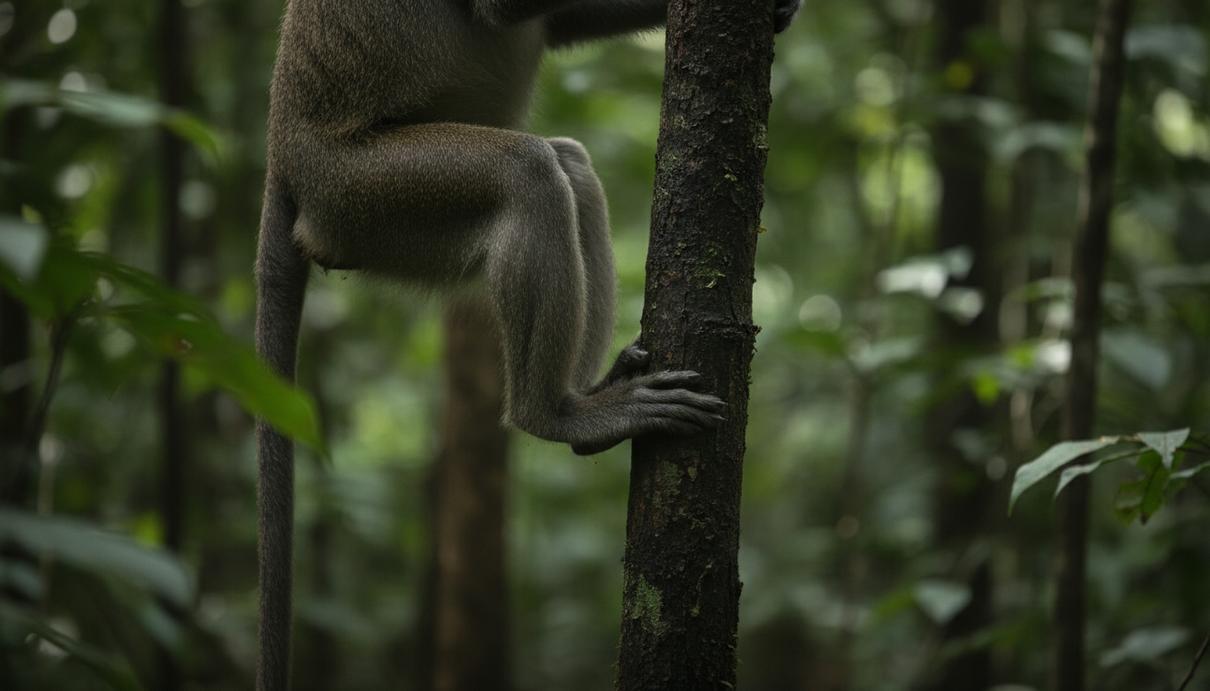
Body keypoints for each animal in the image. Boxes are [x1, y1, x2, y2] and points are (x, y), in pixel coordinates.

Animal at [254, 1, 801, 689]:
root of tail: (283, 156)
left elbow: (558, 27)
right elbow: (498, 12)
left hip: (381, 228)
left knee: (570, 166)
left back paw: (589, 397)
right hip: (358, 196)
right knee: (528, 174)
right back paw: (556, 415)